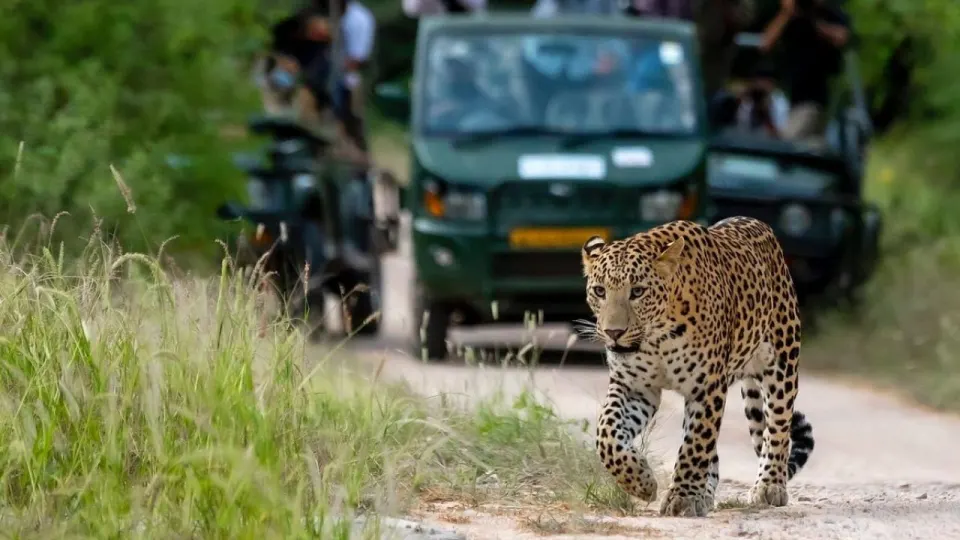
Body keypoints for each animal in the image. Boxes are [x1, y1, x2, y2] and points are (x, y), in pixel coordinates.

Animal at [579, 216, 815, 517]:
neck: (657, 337)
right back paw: (705, 494)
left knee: (777, 427)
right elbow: (607, 434)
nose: (614, 332)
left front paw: (681, 498)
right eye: (599, 291)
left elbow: (695, 445)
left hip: (781, 363)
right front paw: (640, 481)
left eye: (638, 291)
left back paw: (770, 485)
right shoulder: (634, 387)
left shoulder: (706, 387)